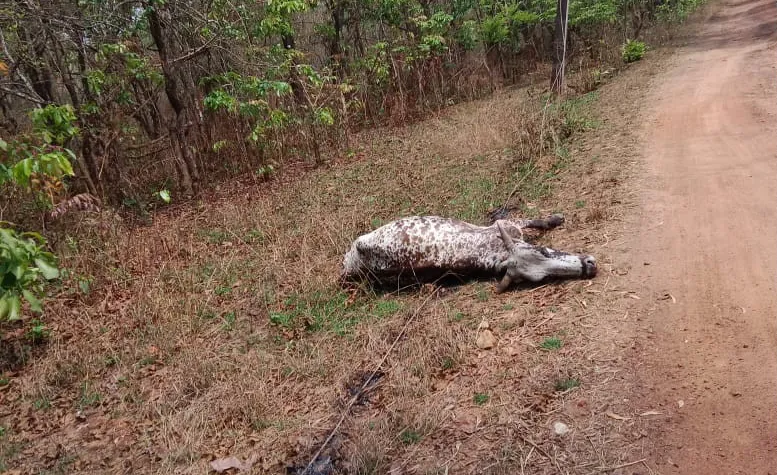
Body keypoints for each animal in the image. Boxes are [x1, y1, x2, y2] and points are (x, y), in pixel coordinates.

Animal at [340, 214, 597, 293]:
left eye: (544, 250)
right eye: (544, 278)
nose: (590, 265)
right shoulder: (506, 225)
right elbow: (530, 220)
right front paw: (555, 219)